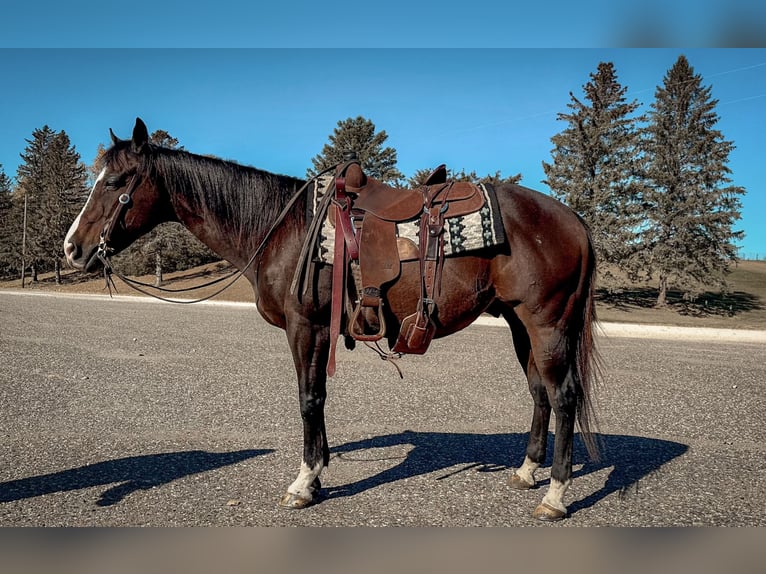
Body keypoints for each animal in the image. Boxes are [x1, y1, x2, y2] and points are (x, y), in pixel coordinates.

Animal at [63, 117, 604, 520]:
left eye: (116, 182)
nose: (72, 248)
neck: (280, 228)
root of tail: (575, 220)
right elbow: (316, 399)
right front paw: (318, 473)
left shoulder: (307, 326)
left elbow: (309, 398)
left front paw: (305, 481)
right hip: (519, 324)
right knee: (539, 393)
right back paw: (526, 472)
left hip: (548, 324)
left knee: (563, 396)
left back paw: (555, 496)